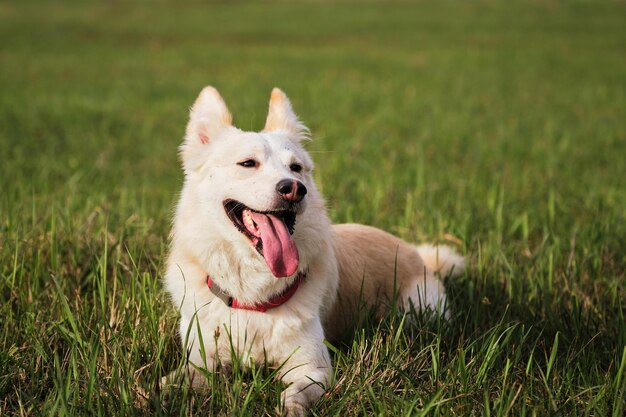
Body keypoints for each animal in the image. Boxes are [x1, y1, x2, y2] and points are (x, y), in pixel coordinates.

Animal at [163, 86, 466, 414]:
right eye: (247, 164)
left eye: (296, 168)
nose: (294, 188)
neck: (253, 295)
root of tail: (419, 255)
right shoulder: (202, 357)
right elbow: (176, 378)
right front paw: (157, 394)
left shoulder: (313, 368)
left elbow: (293, 395)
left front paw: (289, 409)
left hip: (417, 311)